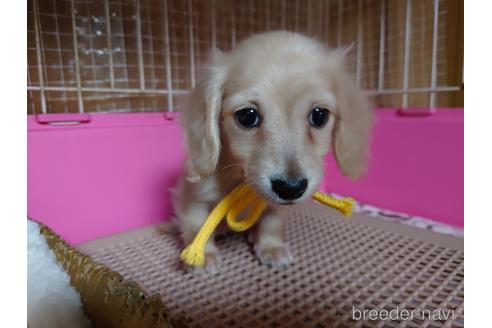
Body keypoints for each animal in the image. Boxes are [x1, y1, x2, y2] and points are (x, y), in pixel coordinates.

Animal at [175, 31, 370, 272]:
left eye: (319, 115)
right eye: (247, 116)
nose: (290, 188)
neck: (242, 183)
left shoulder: (273, 209)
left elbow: (271, 223)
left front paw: (271, 247)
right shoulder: (195, 198)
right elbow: (197, 225)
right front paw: (203, 256)